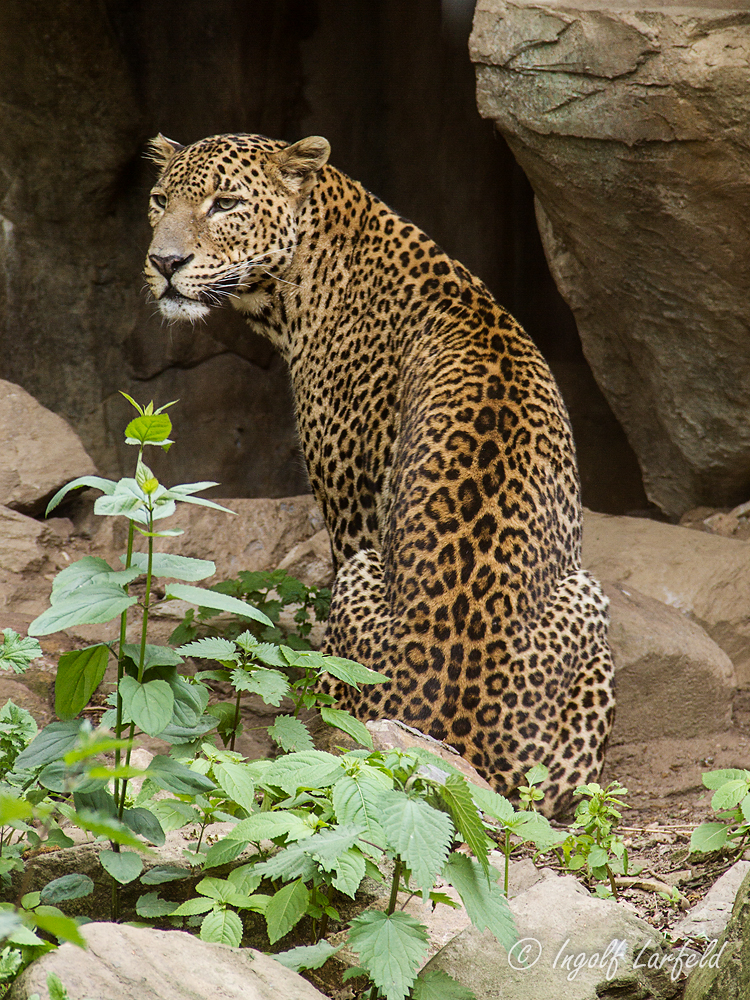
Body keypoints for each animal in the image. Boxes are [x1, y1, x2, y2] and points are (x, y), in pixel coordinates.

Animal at [145, 131, 616, 812]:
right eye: (160, 199)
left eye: (225, 203)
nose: (164, 262)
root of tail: (453, 753)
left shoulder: (353, 509)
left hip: (401, 576)